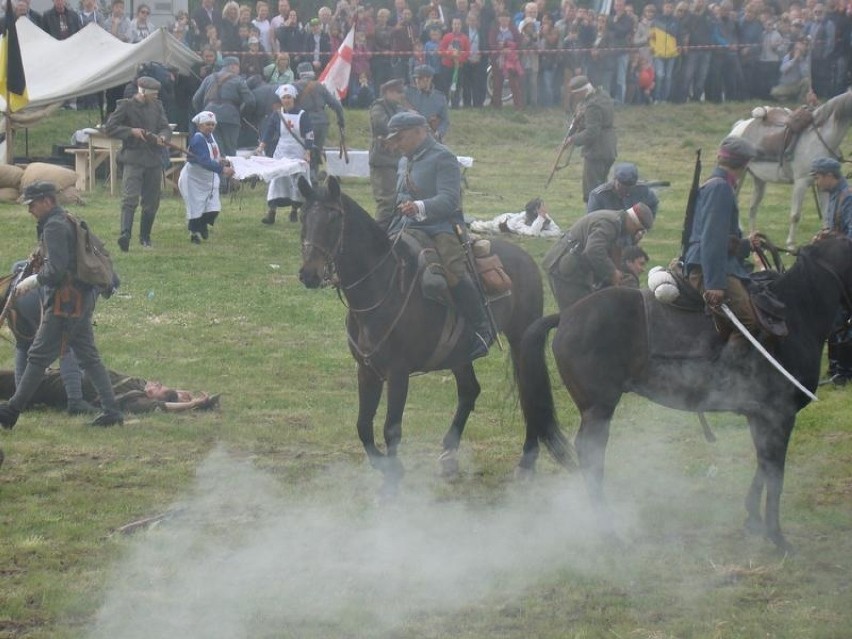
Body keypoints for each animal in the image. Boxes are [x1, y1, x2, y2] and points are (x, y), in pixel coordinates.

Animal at [296, 175, 544, 490]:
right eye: (304, 216)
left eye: (332, 218)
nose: (309, 274)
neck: (382, 287)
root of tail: (527, 259)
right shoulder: (366, 370)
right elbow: (363, 425)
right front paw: (385, 466)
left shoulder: (398, 372)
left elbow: (391, 428)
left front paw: (392, 478)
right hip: (459, 354)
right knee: (469, 391)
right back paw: (448, 454)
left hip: (521, 340)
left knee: (529, 393)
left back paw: (526, 461)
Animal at [516, 238, 852, 552]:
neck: (796, 314)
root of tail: (566, 316)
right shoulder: (779, 417)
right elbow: (775, 473)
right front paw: (777, 537)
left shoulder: (761, 417)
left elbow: (764, 465)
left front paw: (754, 520)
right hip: (599, 409)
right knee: (591, 453)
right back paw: (608, 531)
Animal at [724, 90, 852, 248]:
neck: (820, 138)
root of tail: (739, 127)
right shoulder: (801, 183)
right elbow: (795, 215)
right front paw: (790, 245)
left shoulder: (823, 185)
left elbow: (827, 213)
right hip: (739, 176)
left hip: (759, 180)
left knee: (752, 208)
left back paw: (754, 240)